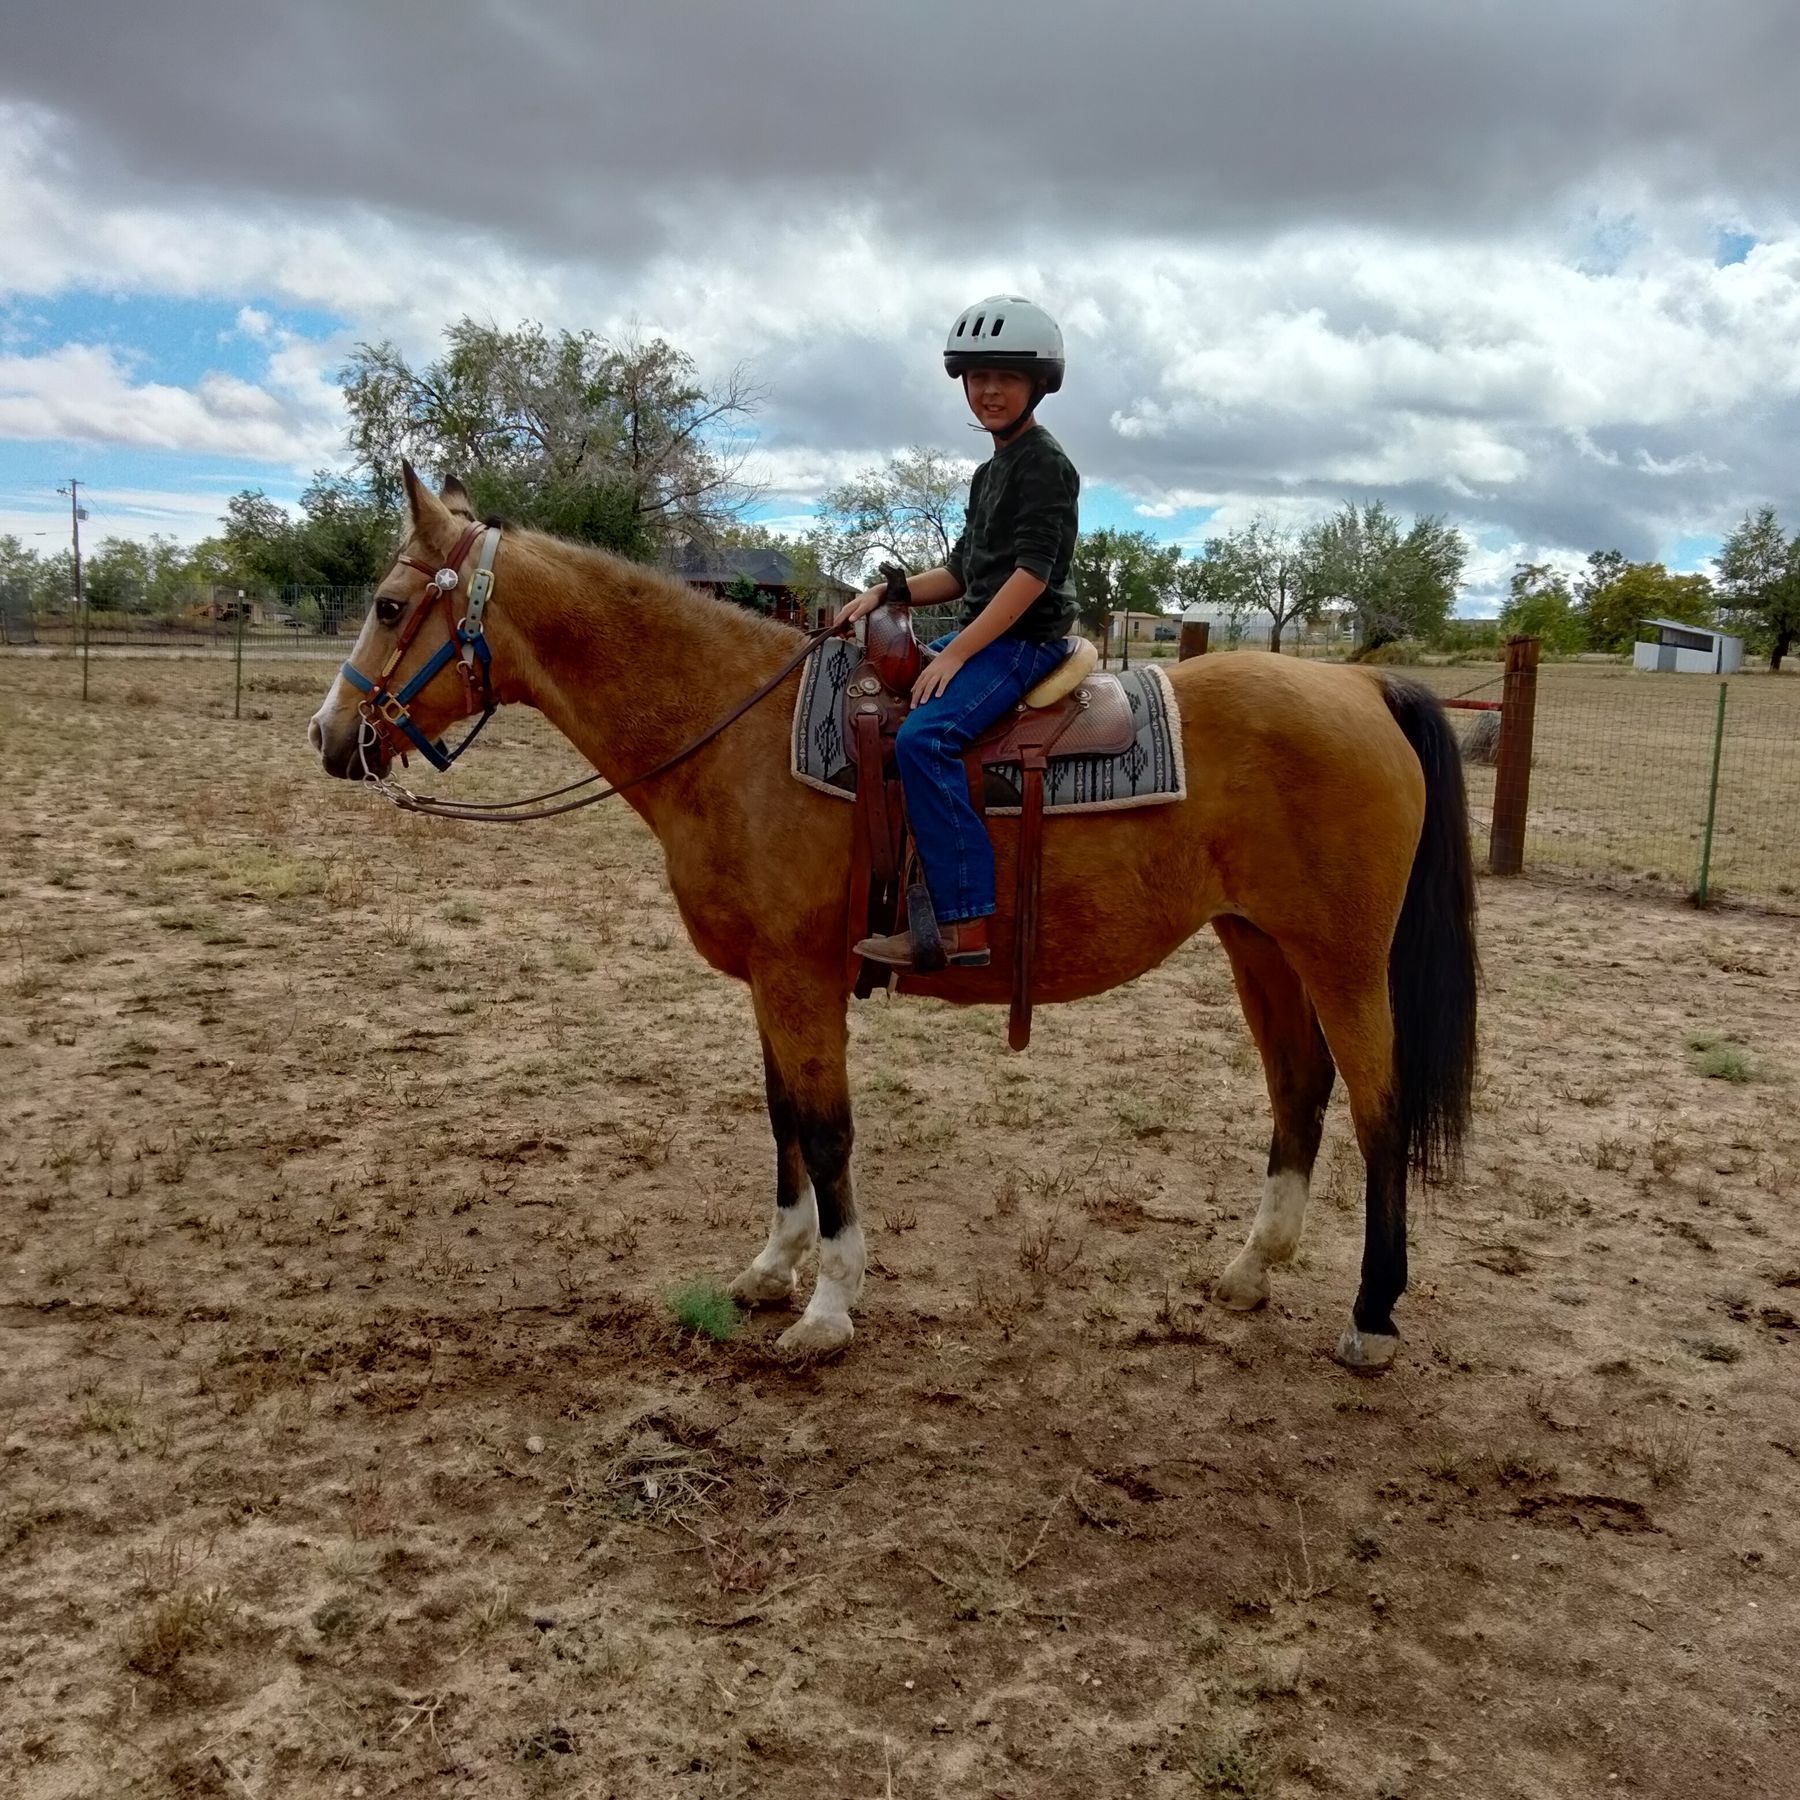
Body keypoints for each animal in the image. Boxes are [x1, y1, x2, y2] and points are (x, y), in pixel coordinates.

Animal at [308, 467, 1478, 1371]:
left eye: (387, 604)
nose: (328, 737)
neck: (739, 733)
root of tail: (1365, 693)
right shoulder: (774, 981)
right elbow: (782, 1117)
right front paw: (772, 1270)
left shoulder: (798, 976)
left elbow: (827, 1131)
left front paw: (829, 1307)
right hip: (1259, 944)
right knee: (1299, 1091)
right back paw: (1248, 1271)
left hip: (1342, 958)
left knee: (1378, 1111)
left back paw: (1372, 1316)